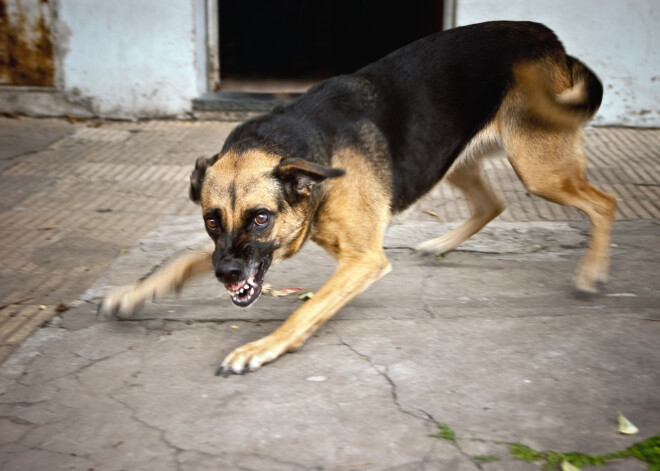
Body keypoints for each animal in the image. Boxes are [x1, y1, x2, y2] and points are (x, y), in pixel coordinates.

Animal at [100, 21, 616, 376]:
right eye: (211, 220)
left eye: (261, 218)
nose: (226, 276)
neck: (311, 162)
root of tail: (550, 38)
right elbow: (186, 259)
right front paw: (137, 292)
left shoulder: (363, 260)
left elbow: (305, 309)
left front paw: (260, 349)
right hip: (453, 159)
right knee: (493, 204)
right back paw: (441, 245)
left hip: (539, 171)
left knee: (604, 203)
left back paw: (591, 272)